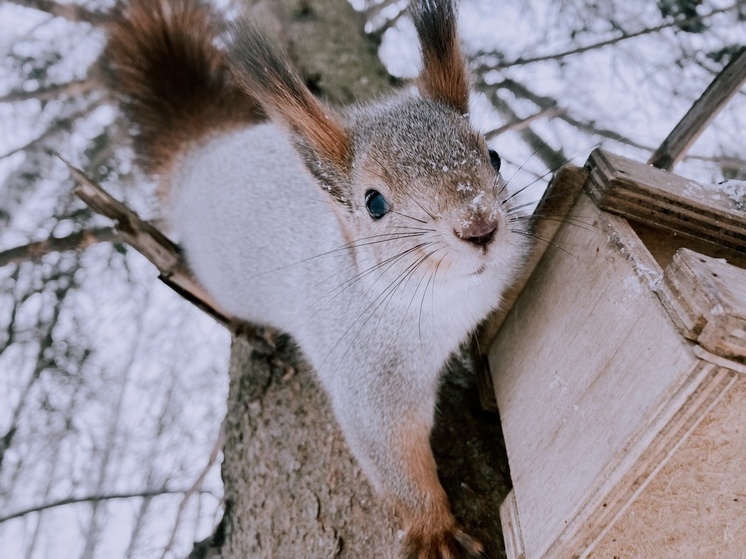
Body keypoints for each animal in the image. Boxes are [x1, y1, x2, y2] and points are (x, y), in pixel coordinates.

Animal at [103, 0, 528, 556]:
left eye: (494, 156)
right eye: (373, 203)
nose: (479, 227)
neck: (444, 303)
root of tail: (203, 155)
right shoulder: (368, 384)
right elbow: (395, 460)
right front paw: (434, 529)